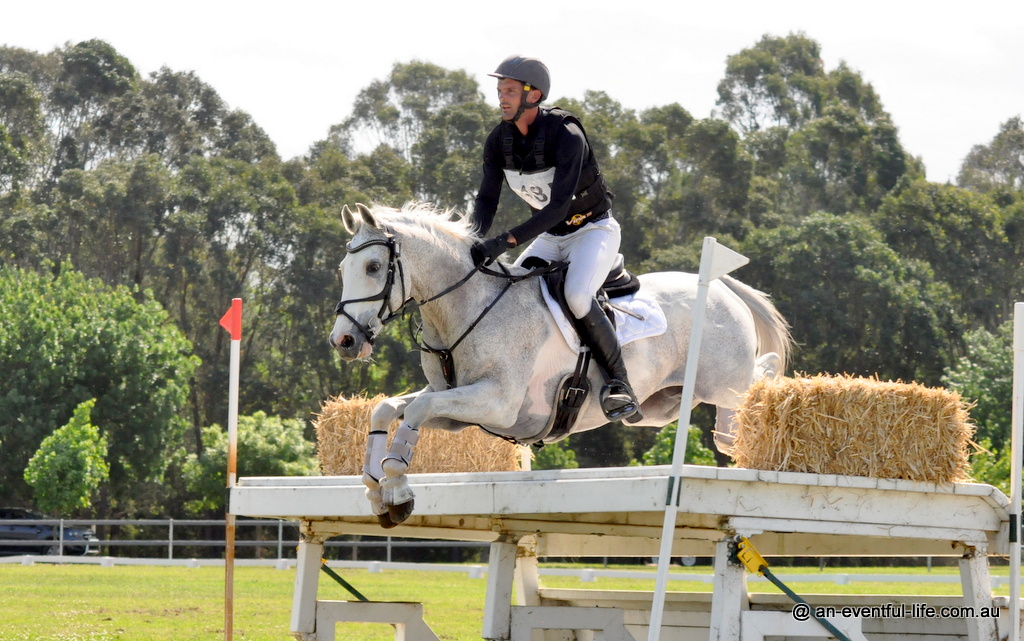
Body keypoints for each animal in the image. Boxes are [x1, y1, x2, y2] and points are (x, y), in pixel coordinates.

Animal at [329, 202, 792, 528]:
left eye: (373, 267)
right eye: (342, 268)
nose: (344, 341)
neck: (466, 307)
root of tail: (723, 288)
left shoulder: (496, 403)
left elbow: (416, 412)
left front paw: (396, 489)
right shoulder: (457, 406)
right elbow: (387, 408)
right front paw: (375, 490)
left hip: (722, 385)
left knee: (757, 379)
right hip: (664, 405)